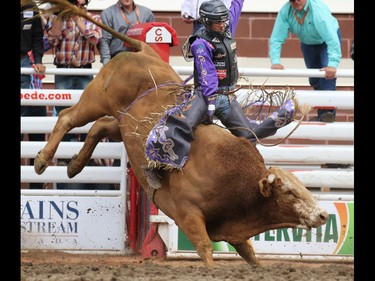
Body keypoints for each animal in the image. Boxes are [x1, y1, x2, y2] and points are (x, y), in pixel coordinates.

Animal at [26, 0, 328, 266]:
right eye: (289, 192)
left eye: (303, 187)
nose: (323, 215)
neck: (238, 182)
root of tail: (143, 50)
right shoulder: (187, 214)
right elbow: (206, 249)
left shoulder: (234, 230)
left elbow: (251, 256)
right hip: (96, 99)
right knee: (67, 118)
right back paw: (42, 161)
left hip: (123, 124)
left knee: (99, 127)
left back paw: (74, 166)